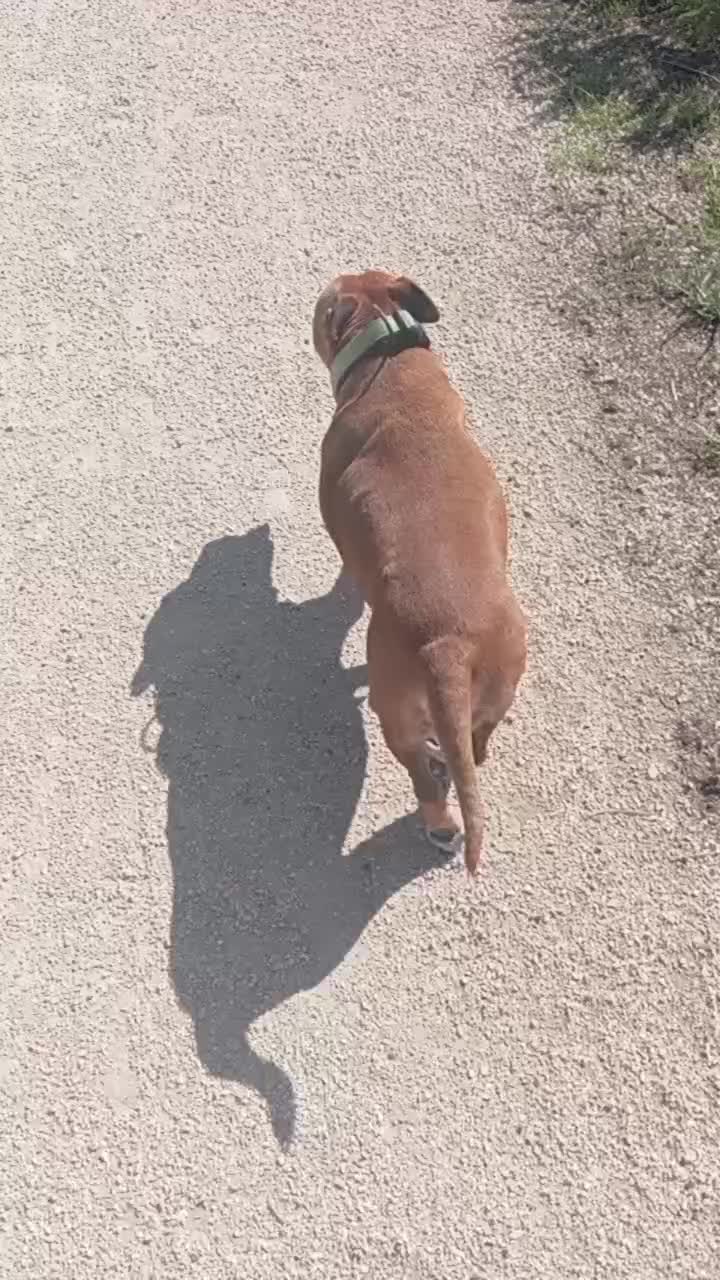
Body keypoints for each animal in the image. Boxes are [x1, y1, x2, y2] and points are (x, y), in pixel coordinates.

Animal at [312, 270, 526, 874]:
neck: (389, 362)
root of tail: (447, 645)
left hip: (395, 717)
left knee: (424, 782)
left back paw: (439, 822)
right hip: (496, 690)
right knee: (474, 750)